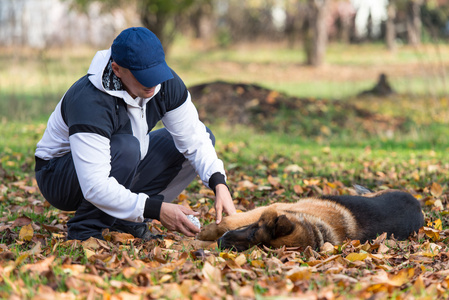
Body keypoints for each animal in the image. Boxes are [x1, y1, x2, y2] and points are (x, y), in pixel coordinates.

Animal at [197, 189, 424, 252]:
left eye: (257, 247)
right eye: (253, 233)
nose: (222, 243)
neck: (316, 226)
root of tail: (419, 206)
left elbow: (226, 225)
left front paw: (200, 240)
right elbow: (228, 222)